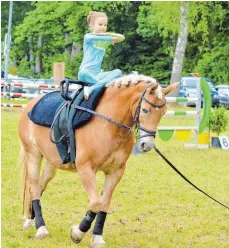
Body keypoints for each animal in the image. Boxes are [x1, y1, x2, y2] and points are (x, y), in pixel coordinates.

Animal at [18, 74, 178, 247]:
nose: (147, 145)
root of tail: (30, 105)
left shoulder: (116, 172)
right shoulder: (86, 169)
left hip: (51, 163)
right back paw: (41, 229)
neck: (108, 124)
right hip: (33, 155)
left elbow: (104, 203)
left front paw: (97, 237)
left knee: (39, 187)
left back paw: (30, 221)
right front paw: (77, 233)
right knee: (34, 188)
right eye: (145, 110)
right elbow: (96, 203)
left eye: (163, 113)